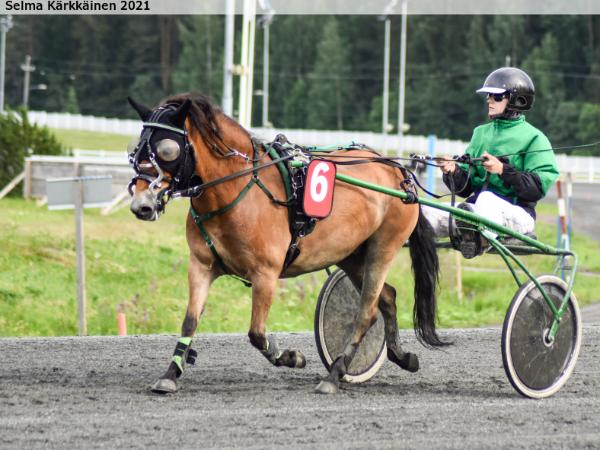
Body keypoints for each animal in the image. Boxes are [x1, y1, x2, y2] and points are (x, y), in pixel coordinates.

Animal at [127, 93, 447, 395]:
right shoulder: (201, 265)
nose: (141, 205)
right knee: (388, 297)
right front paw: (170, 374)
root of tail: (397, 171)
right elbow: (190, 321)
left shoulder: (265, 274)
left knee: (367, 312)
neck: (236, 191)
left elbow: (256, 333)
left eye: (167, 150)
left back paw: (334, 375)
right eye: (136, 150)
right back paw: (402, 356)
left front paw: (292, 357)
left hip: (383, 247)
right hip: (352, 255)